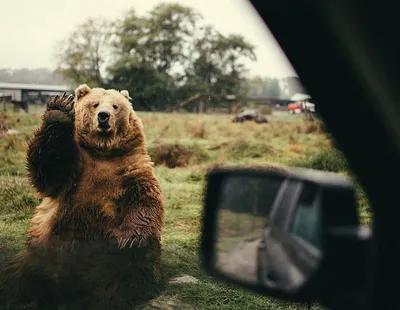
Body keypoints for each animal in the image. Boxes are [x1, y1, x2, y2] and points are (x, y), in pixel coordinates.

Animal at [0, 85, 166, 310]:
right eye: (94, 104)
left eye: (115, 106)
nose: (103, 116)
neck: (103, 151)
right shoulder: (73, 169)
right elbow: (49, 169)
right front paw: (59, 109)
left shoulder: (130, 169)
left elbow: (144, 200)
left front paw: (130, 239)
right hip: (39, 252)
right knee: (18, 278)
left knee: (127, 273)